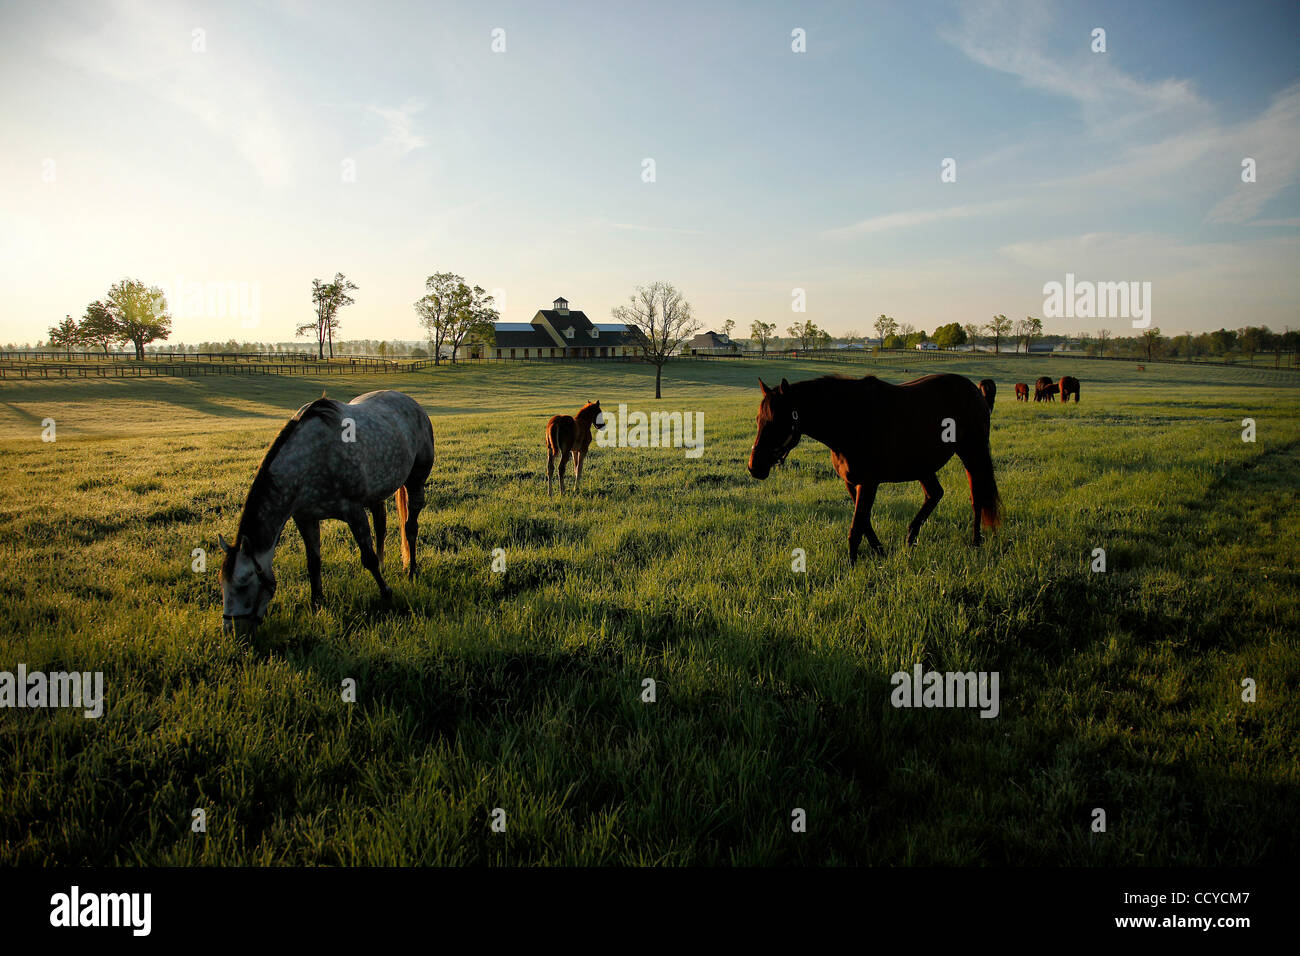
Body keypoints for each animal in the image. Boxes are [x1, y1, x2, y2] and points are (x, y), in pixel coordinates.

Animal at [215, 390, 434, 634]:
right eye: (222, 583)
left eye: (243, 584)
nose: (231, 632)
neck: (309, 460)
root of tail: (412, 403)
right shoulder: (306, 518)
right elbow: (313, 563)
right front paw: (317, 603)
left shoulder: (353, 512)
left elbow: (368, 558)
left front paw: (386, 593)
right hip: (377, 494)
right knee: (381, 526)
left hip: (415, 482)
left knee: (410, 528)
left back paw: (412, 570)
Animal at [748, 374, 998, 561]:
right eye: (759, 420)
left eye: (778, 422)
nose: (754, 467)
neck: (851, 419)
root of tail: (976, 391)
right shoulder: (852, 482)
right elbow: (864, 523)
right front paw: (880, 552)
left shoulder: (868, 483)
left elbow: (856, 528)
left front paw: (851, 565)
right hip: (923, 466)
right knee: (935, 494)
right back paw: (910, 539)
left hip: (972, 454)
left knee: (977, 497)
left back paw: (976, 542)